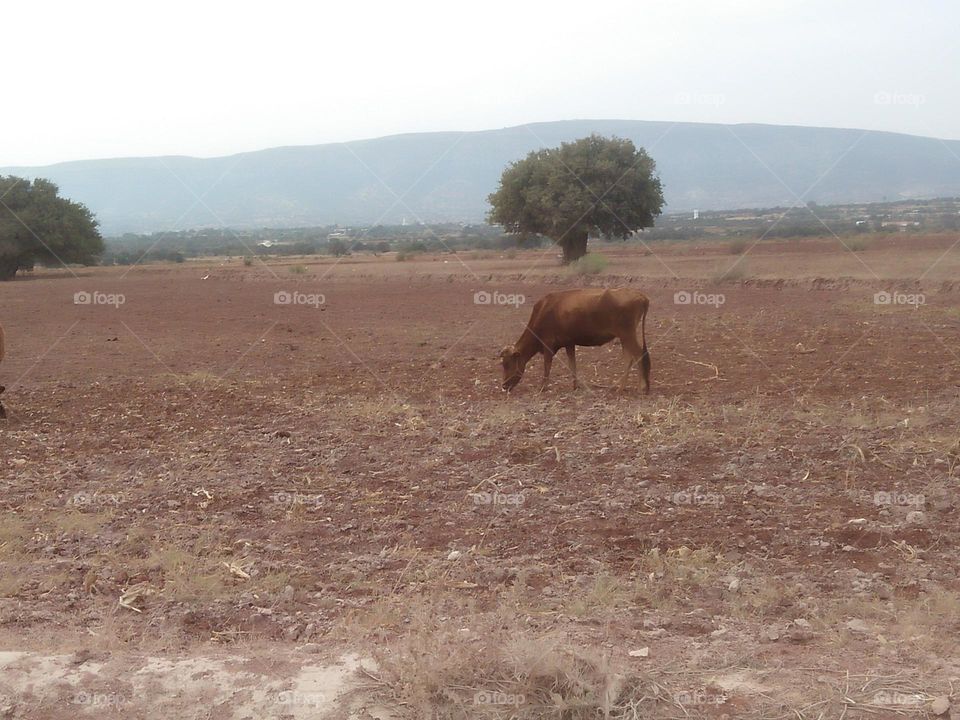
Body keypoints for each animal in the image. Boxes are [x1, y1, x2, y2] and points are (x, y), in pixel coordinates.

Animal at [498, 286, 648, 394]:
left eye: (507, 364)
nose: (504, 385)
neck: (543, 310)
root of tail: (641, 295)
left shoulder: (548, 344)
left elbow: (547, 366)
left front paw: (542, 387)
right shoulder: (569, 343)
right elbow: (572, 364)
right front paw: (575, 386)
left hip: (628, 335)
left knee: (638, 355)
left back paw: (641, 388)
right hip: (624, 337)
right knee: (629, 358)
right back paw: (620, 388)